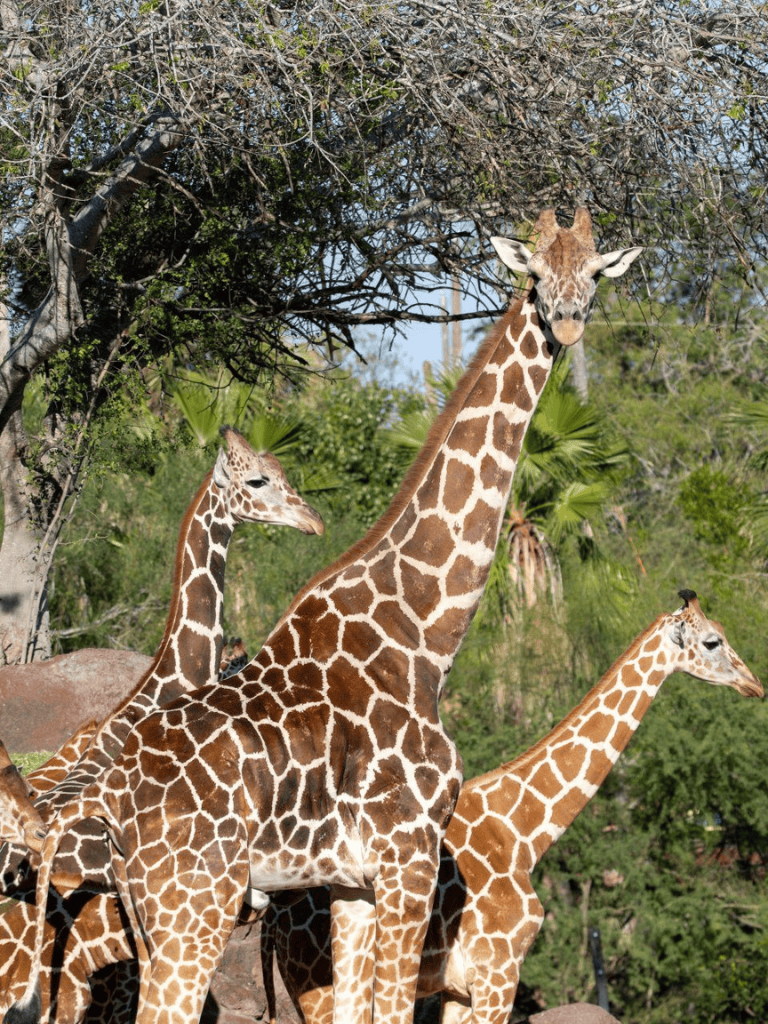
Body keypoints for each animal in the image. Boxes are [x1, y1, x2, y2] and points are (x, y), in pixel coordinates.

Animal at [6, 208, 642, 1024]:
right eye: (533, 271)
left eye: (594, 270)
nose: (565, 321)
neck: (426, 631)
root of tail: (111, 800)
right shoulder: (408, 857)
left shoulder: (351, 880)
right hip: (192, 909)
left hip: (152, 915)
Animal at [262, 590, 763, 1024]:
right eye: (713, 641)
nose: (754, 684)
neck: (525, 833)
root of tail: (275, 918)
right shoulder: (498, 974)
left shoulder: (459, 990)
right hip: (320, 985)